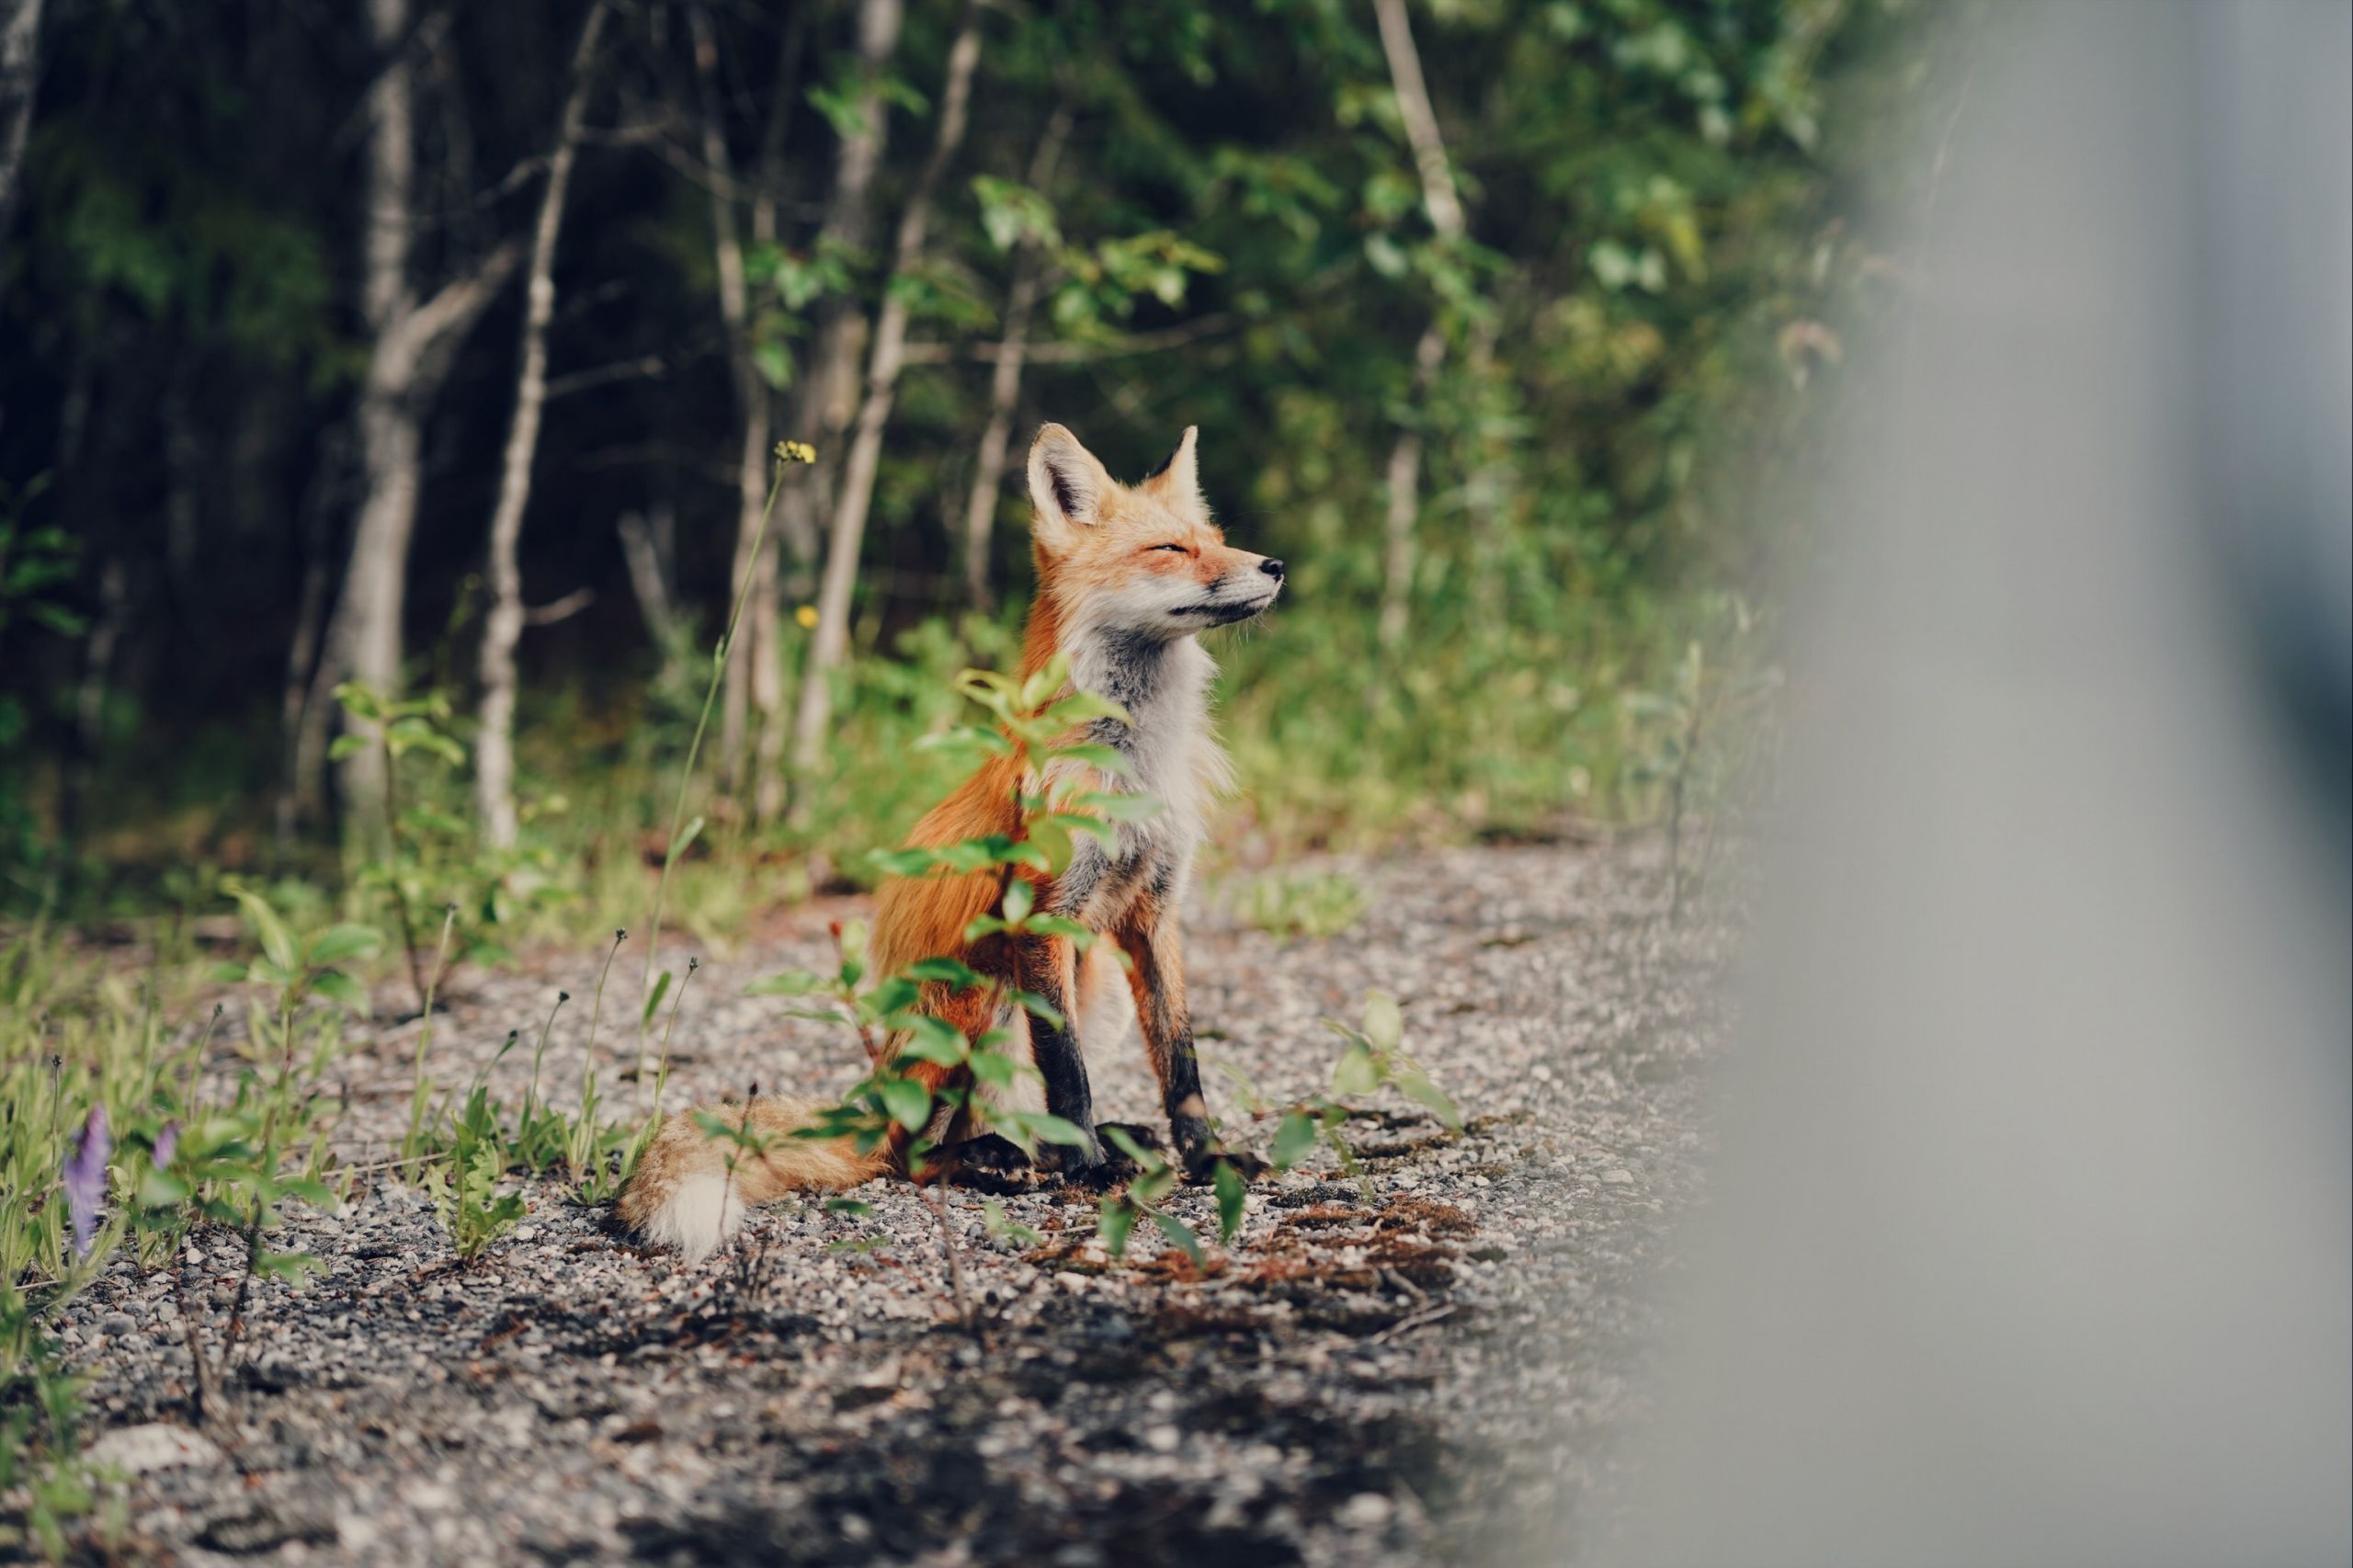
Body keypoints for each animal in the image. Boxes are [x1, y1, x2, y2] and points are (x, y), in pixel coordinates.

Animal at [620, 421, 1289, 1252]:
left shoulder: (1153, 916)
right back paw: (1000, 1160)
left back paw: (1087, 1143)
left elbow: (1181, 1065)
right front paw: (1088, 1169)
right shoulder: (1041, 919)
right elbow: (1068, 1075)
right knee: (916, 1154)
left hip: (1093, 984)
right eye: (1170, 549)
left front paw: (1205, 1160)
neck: (1132, 766)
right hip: (982, 997)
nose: (1274, 565)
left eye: (1219, 541)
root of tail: (876, 1099)